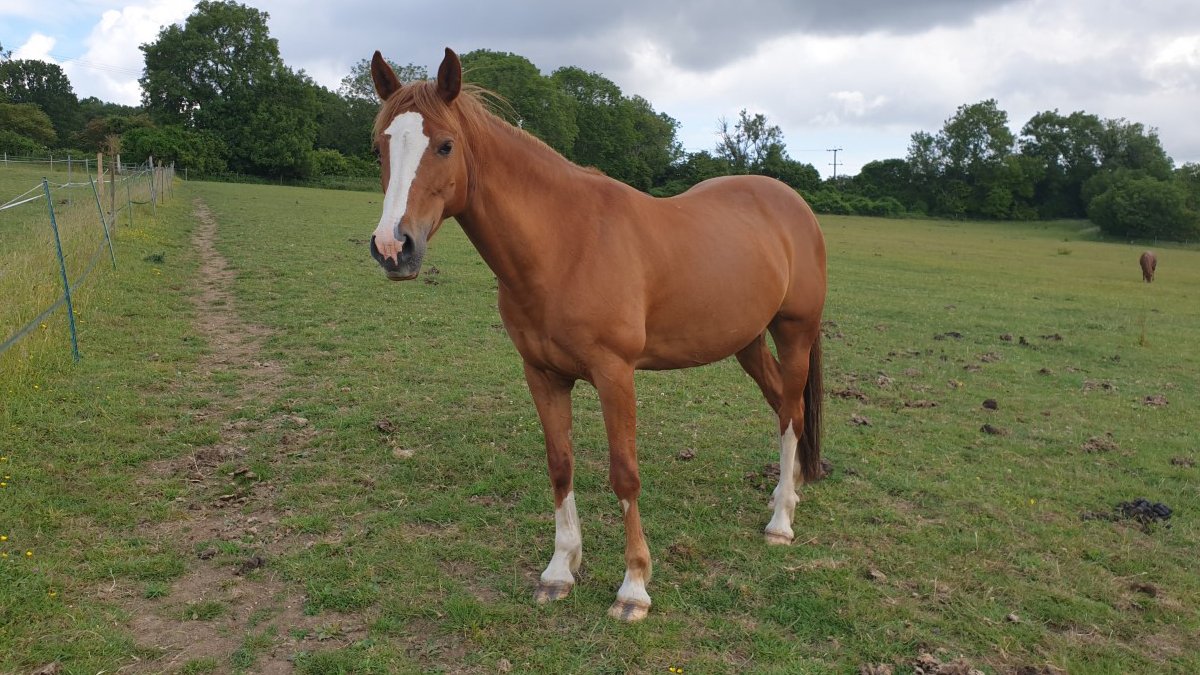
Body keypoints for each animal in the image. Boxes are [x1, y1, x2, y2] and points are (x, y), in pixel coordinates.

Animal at [369, 47, 830, 619]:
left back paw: (781, 521)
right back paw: (785, 493)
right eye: (380, 146)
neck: (566, 244)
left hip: (794, 332)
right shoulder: (542, 374)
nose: (394, 248)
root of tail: (792, 204)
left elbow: (624, 473)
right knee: (781, 405)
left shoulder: (615, 375)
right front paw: (559, 570)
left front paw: (633, 587)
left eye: (445, 145)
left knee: (791, 414)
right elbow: (560, 465)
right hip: (746, 341)